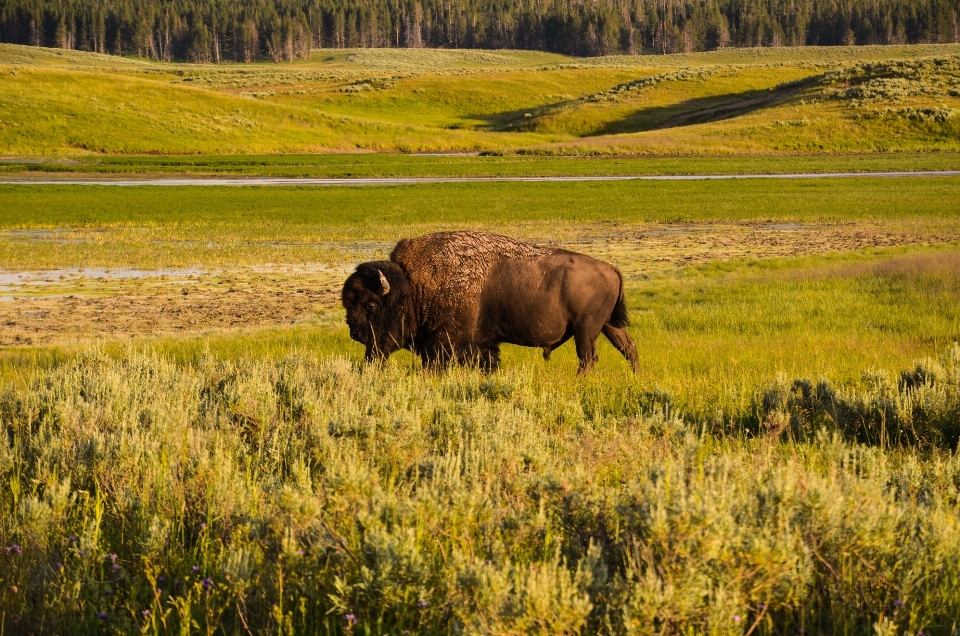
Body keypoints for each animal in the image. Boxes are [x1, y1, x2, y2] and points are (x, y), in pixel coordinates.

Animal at [340, 232, 636, 372]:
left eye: (371, 305)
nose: (355, 333)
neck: (413, 285)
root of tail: (611, 269)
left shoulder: (443, 343)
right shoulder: (481, 344)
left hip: (586, 330)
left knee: (588, 358)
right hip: (608, 326)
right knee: (628, 348)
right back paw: (636, 376)